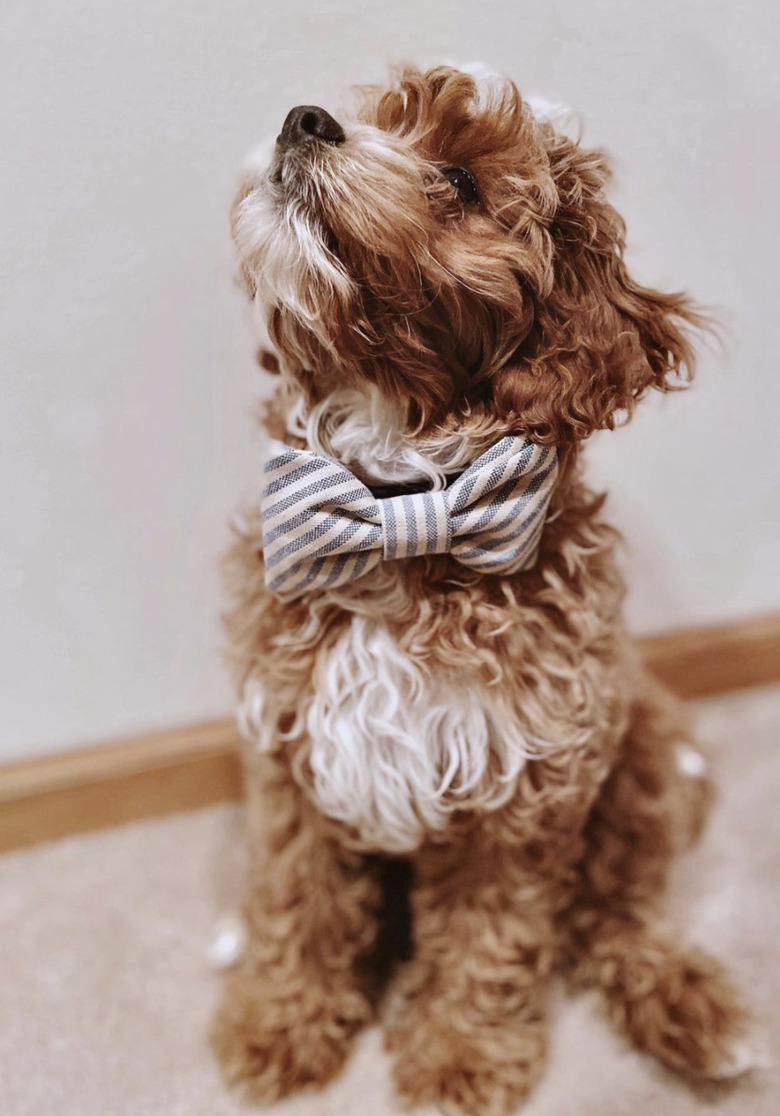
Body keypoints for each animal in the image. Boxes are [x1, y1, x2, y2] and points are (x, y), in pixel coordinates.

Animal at [210, 63, 758, 1116]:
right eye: (374, 114)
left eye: (461, 180)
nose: (306, 120)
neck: (398, 504)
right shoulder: (291, 747)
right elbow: (300, 895)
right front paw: (282, 1021)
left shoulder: (522, 780)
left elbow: (488, 934)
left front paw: (459, 1057)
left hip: (640, 753)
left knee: (615, 915)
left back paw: (687, 1006)